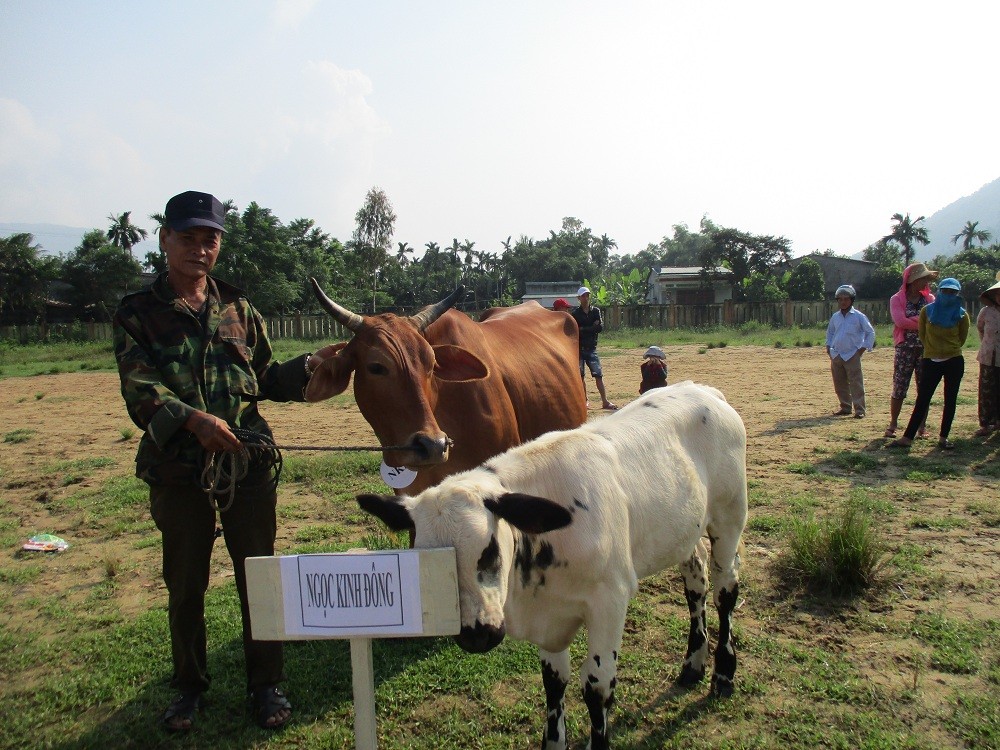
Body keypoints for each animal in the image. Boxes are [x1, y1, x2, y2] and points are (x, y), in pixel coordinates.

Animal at [356, 384, 748, 748]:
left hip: (729, 518)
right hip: (685, 530)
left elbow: (597, 688)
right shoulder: (550, 612)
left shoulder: (610, 600)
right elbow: (554, 682)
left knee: (724, 590)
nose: (477, 634)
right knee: (695, 582)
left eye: (489, 550)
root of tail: (703, 390)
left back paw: (723, 675)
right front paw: (554, 739)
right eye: (427, 564)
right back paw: (693, 664)